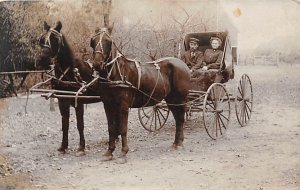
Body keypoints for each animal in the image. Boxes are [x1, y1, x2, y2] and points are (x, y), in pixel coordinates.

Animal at [37, 21, 99, 154]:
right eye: (42, 39)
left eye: (55, 39)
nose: (42, 59)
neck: (69, 72)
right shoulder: (62, 101)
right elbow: (64, 125)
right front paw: (63, 146)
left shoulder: (78, 102)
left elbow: (80, 124)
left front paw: (81, 146)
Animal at [90, 26, 191, 160]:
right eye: (93, 41)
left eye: (108, 41)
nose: (97, 64)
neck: (116, 73)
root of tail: (183, 64)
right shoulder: (107, 104)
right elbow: (111, 128)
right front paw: (109, 152)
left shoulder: (123, 105)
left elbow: (123, 128)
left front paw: (124, 151)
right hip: (171, 100)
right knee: (178, 119)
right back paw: (176, 143)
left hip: (180, 99)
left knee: (180, 119)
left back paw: (179, 143)